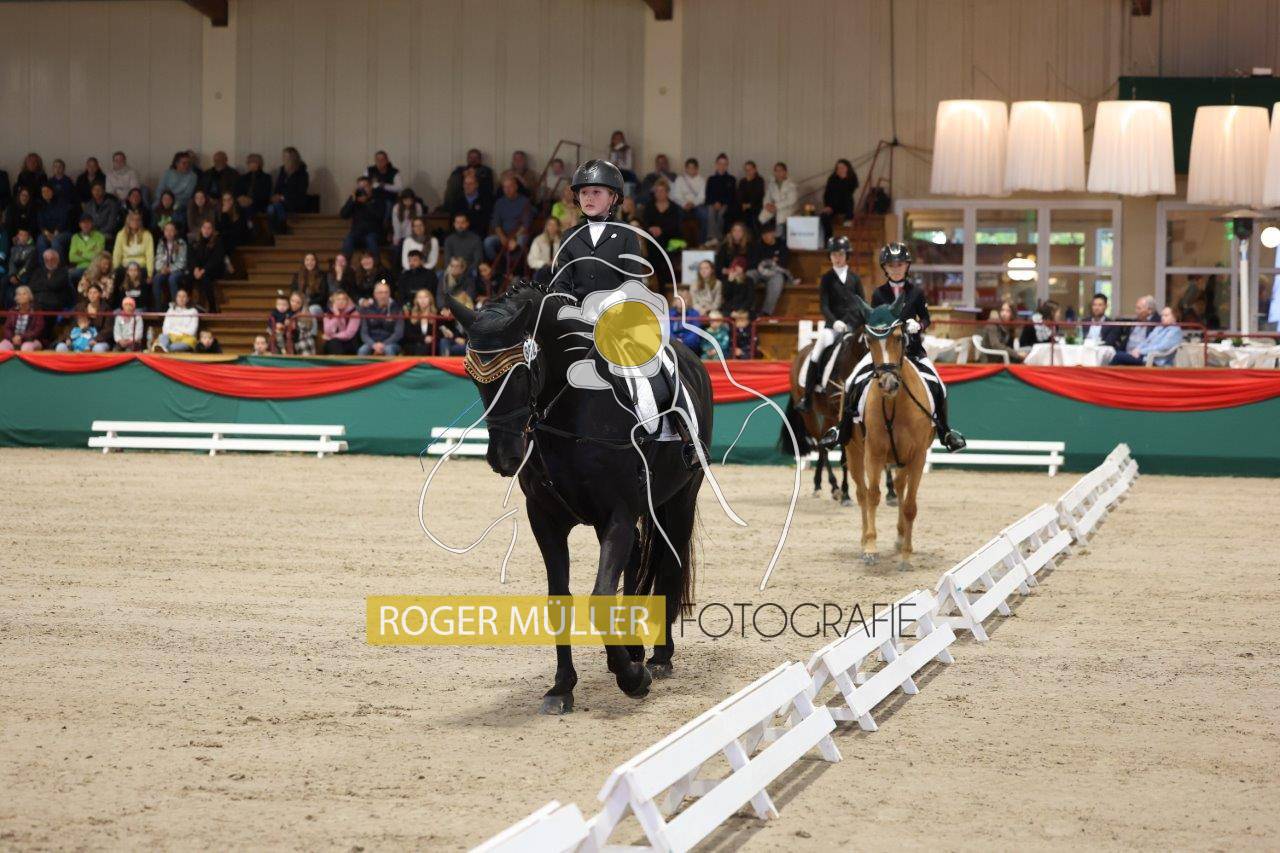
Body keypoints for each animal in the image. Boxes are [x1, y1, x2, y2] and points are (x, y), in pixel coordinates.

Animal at [449, 280, 713, 715]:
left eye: (521, 371)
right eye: (472, 375)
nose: (504, 457)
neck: (574, 409)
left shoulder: (618, 516)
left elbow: (600, 596)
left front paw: (632, 679)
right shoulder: (546, 519)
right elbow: (561, 598)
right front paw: (562, 687)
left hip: (680, 500)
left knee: (669, 563)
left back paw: (658, 657)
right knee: (638, 559)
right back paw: (631, 650)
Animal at [842, 296, 933, 568]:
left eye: (899, 337)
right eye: (869, 340)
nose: (888, 383)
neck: (895, 404)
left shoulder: (917, 457)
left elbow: (910, 505)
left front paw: (906, 555)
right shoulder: (873, 453)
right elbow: (873, 496)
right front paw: (871, 548)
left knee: (901, 487)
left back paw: (901, 538)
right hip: (854, 453)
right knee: (862, 493)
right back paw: (864, 541)